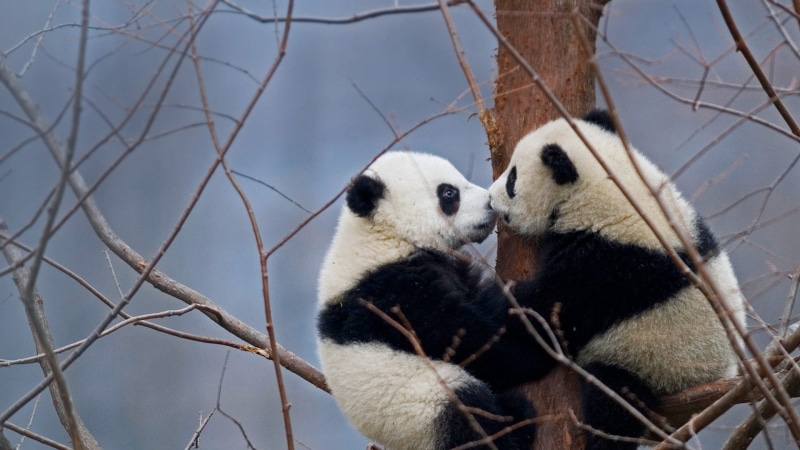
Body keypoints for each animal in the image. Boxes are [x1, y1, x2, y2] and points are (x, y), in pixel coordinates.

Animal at [316, 151, 539, 450]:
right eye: (449, 193)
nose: (490, 203)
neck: (385, 236)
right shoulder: (393, 293)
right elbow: (467, 338)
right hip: (422, 406)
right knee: (468, 412)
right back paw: (516, 423)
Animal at [486, 110, 747, 449]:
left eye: (513, 179)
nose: (489, 198)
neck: (607, 187)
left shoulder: (609, 264)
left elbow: (547, 311)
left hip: (652, 364)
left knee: (615, 402)